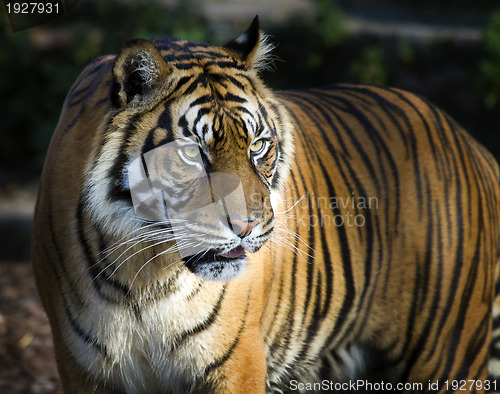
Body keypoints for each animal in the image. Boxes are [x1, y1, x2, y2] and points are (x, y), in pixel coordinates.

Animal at [32, 16, 500, 394]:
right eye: (192, 152)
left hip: (447, 356)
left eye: (257, 146)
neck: (144, 278)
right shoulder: (81, 367)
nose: (246, 226)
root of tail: (468, 140)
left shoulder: (236, 361)